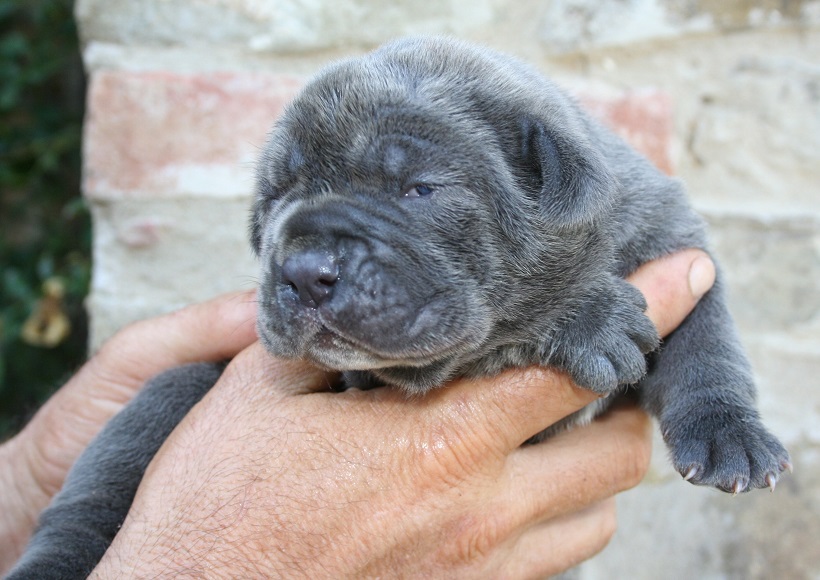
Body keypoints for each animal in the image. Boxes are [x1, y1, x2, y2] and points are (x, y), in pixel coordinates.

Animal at [6, 37, 788, 580]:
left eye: (419, 189)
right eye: (278, 197)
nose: (303, 270)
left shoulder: (678, 249)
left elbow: (706, 345)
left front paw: (731, 434)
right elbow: (495, 334)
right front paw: (581, 312)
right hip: (159, 399)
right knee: (89, 497)